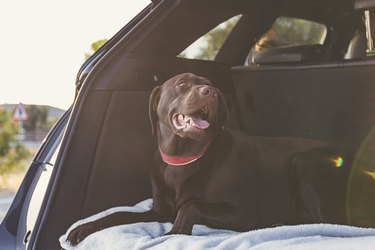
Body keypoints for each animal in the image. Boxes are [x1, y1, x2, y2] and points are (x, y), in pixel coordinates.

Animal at [67, 73, 352, 246]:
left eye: (212, 87)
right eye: (182, 84)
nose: (210, 93)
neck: (184, 159)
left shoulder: (242, 210)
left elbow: (190, 205)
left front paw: (174, 233)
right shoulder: (159, 210)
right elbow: (118, 214)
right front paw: (85, 228)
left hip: (302, 163)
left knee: (326, 222)